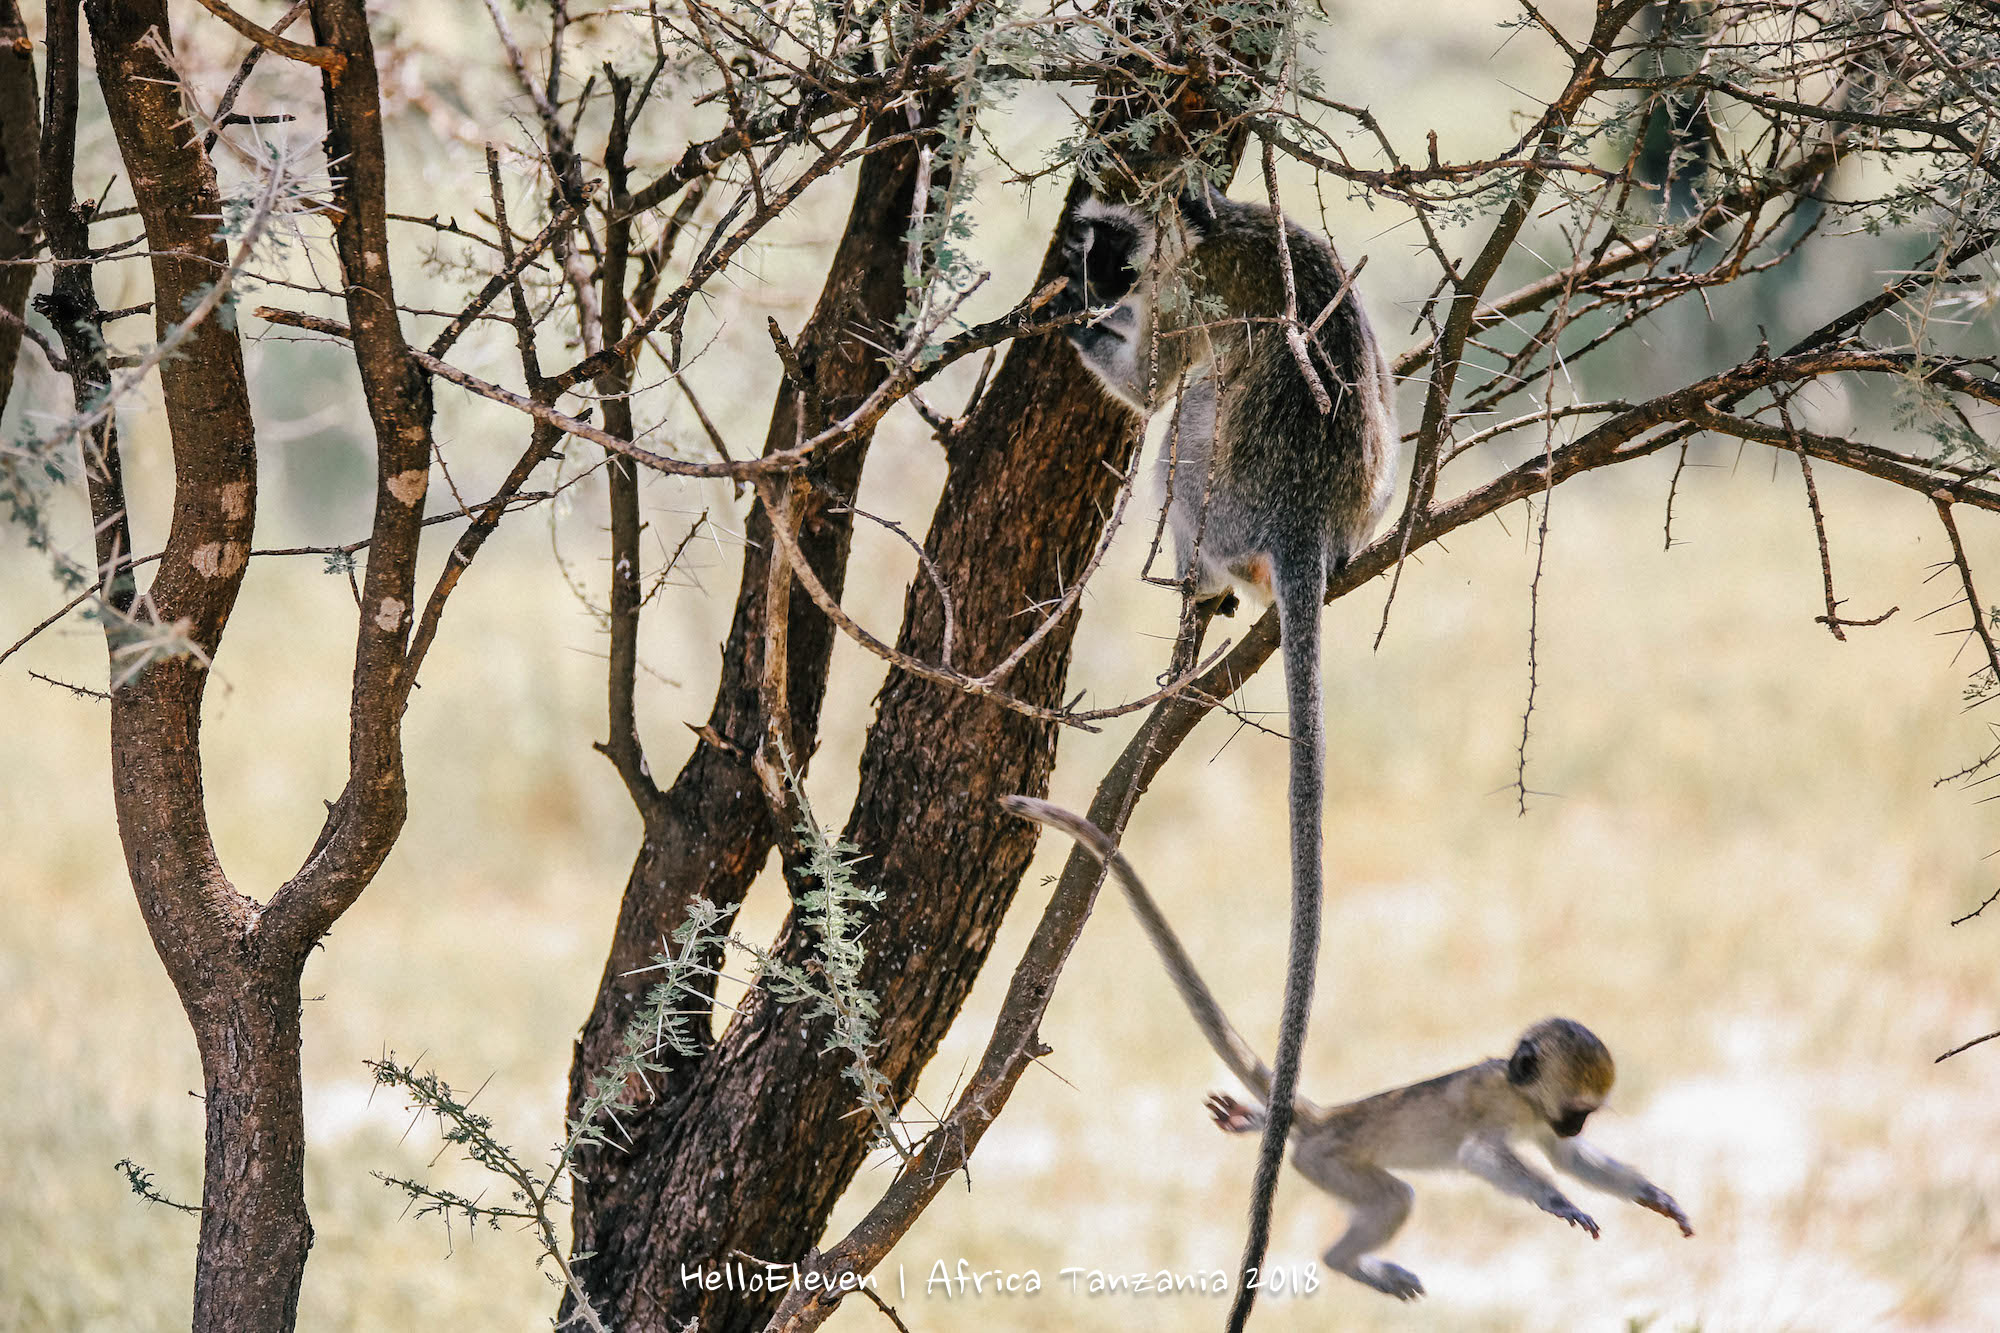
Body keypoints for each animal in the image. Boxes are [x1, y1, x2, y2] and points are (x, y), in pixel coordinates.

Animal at [1000, 792, 1688, 1288]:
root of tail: (1330, 1120)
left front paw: (1652, 1196)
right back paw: (1345, 1263)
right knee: (1394, 1199)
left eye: (1584, 1116)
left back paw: (1259, 1127)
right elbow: (1480, 1156)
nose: (1575, 1126)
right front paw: (1557, 1201)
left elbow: (1570, 1162)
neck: (1518, 1092)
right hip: (1326, 1161)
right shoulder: (1493, 1107)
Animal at [1056, 179, 1400, 1328]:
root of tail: (1304, 521)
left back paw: (1199, 578)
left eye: (1104, 259)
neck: (1204, 215)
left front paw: (1077, 332)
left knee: (1186, 418)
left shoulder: (1178, 292)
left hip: (1220, 494)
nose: (1090, 287)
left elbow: (1154, 382)